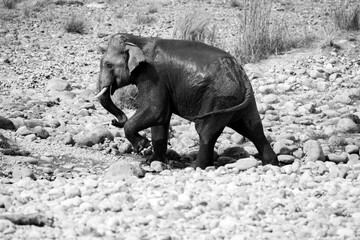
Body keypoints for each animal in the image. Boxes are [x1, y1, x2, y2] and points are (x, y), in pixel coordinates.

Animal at [95, 33, 278, 169]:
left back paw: (196, 166)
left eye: (108, 65)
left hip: (218, 97)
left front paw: (142, 145)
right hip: (236, 100)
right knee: (253, 128)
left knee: (205, 131)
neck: (138, 40)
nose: (113, 121)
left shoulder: (152, 75)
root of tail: (240, 73)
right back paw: (271, 163)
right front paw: (152, 161)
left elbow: (156, 110)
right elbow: (161, 120)